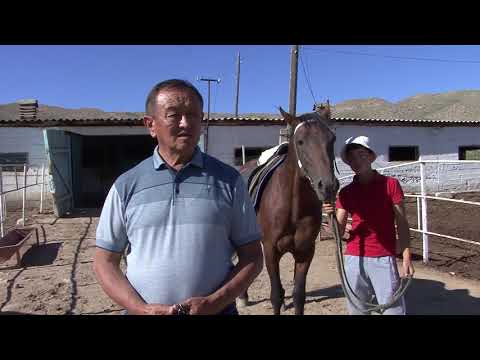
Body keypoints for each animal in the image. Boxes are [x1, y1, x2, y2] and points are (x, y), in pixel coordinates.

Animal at [239, 105, 338, 316]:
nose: (328, 187)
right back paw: (242, 297)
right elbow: (275, 295)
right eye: (300, 141)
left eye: (332, 139)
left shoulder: (305, 251)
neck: (293, 207)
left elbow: (298, 295)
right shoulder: (270, 249)